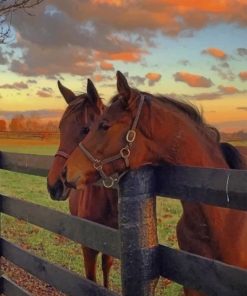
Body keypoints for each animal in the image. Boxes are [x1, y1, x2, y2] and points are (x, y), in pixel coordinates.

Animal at [47, 80, 118, 288]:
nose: (54, 185)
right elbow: (90, 279)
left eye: (86, 129)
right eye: (60, 128)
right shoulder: (88, 247)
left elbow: (106, 267)